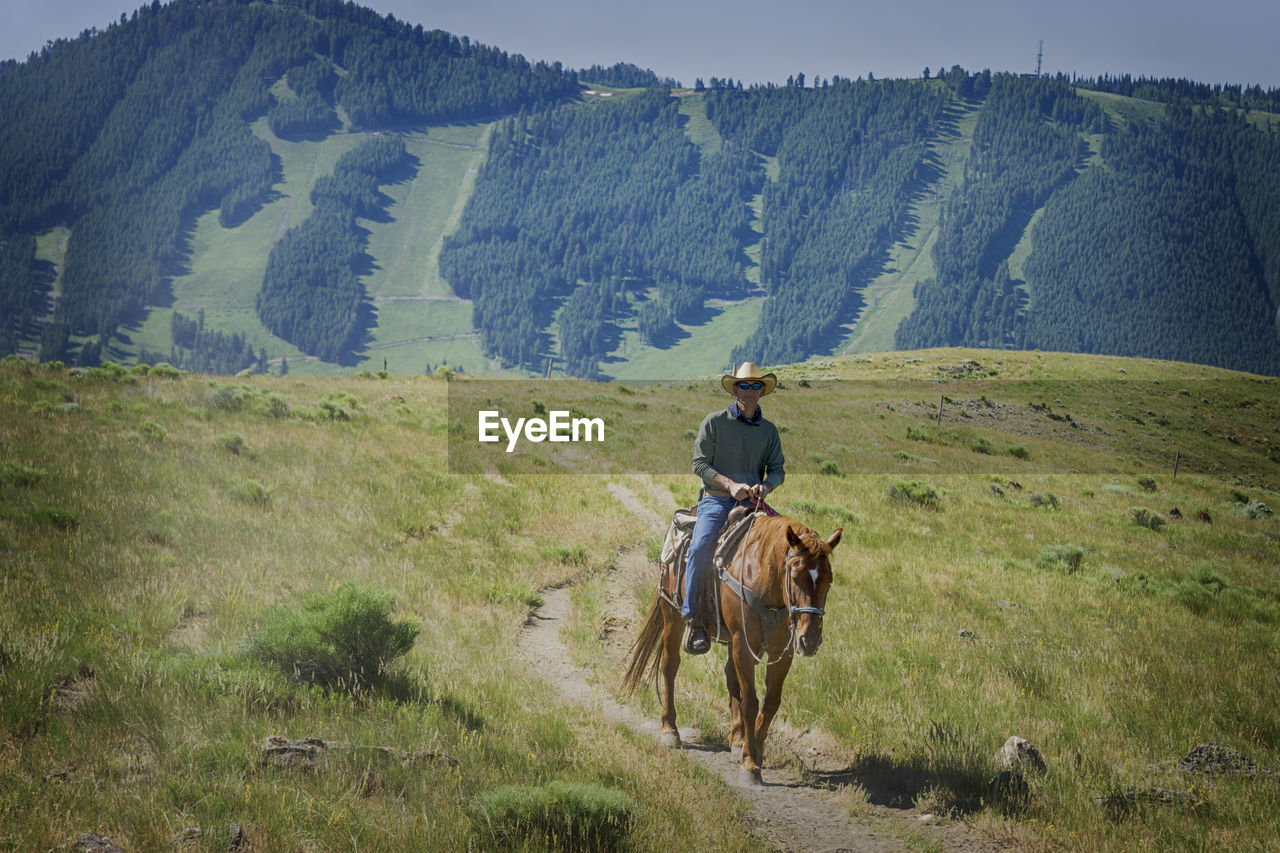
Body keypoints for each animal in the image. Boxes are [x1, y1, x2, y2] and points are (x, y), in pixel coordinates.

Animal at [619, 512, 839, 783]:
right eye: (796, 577)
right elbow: (750, 702)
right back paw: (670, 730)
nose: (809, 640)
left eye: (828, 581)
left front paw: (754, 748)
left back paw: (737, 739)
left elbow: (770, 702)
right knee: (670, 667)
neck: (765, 579)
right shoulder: (743, 644)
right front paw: (749, 764)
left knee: (730, 676)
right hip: (672, 615)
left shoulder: (782, 652)